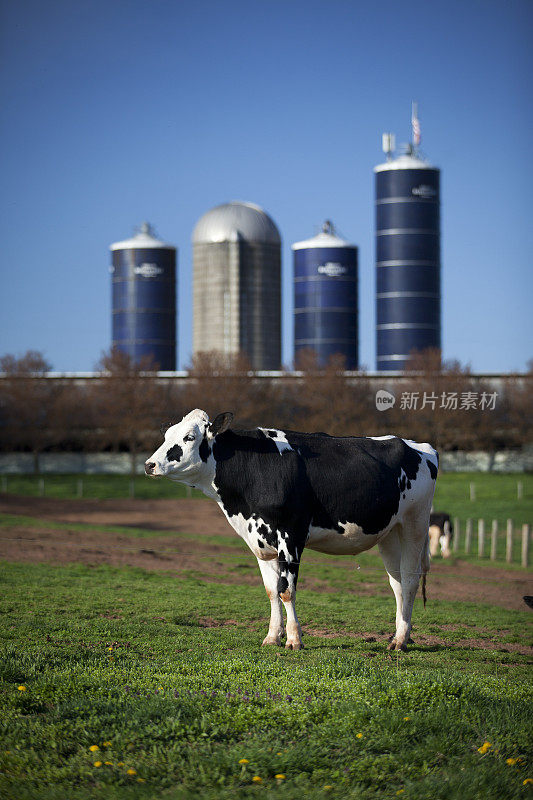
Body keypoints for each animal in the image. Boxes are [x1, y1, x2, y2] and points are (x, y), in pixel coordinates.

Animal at [144, 412, 436, 648]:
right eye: (167, 435)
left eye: (189, 437)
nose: (149, 464)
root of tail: (418, 446)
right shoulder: (261, 541)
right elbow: (271, 590)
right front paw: (272, 637)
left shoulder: (291, 535)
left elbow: (286, 589)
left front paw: (294, 639)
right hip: (390, 533)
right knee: (397, 584)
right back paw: (401, 634)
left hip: (415, 525)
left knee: (410, 580)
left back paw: (400, 641)